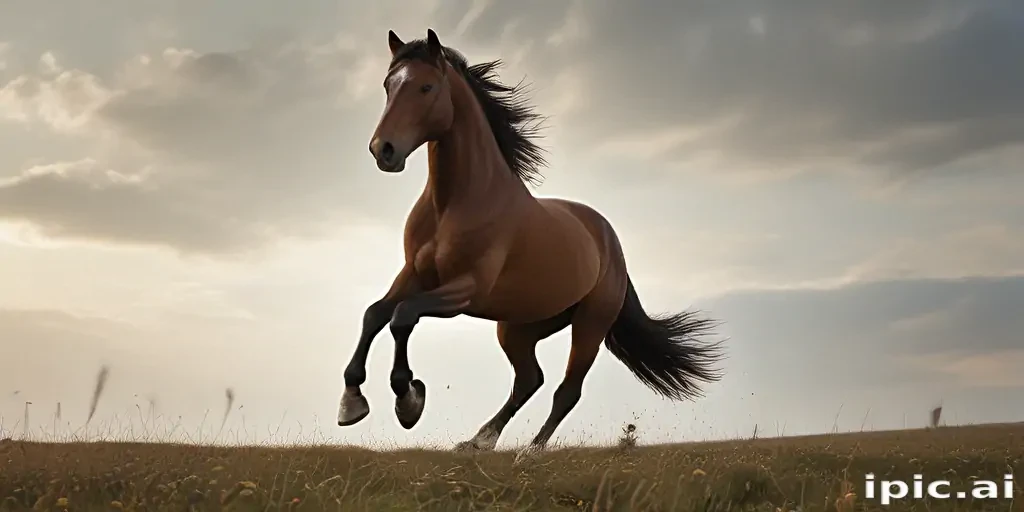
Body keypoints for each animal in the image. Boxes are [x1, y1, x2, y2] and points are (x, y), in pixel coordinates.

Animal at [338, 28, 725, 461]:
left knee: (566, 391)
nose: (383, 150)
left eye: (426, 87)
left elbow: (403, 316)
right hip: (519, 327)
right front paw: (352, 403)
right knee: (529, 380)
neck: (455, 202)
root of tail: (609, 241)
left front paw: (408, 400)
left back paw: (531, 451)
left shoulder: (464, 291)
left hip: (589, 325)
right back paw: (479, 440)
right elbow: (375, 314)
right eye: (389, 86)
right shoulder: (414, 275)